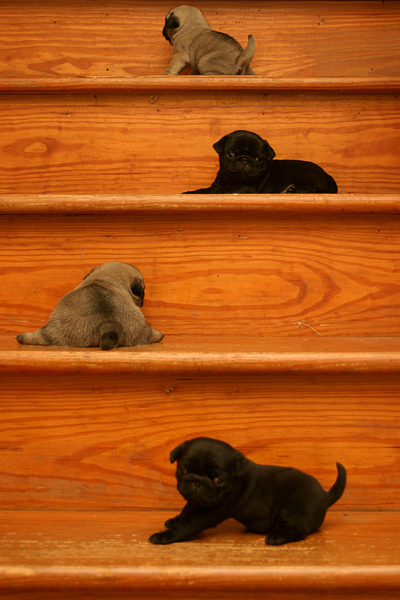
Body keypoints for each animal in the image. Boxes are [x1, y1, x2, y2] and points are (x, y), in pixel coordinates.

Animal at [16, 260, 164, 350]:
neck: (103, 279)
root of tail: (109, 325)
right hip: (144, 332)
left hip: (53, 332)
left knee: (41, 337)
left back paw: (23, 337)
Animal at [148, 438, 346, 548]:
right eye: (183, 470)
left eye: (219, 480)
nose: (197, 482)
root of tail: (325, 496)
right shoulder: (197, 502)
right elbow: (187, 509)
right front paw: (174, 519)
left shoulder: (212, 509)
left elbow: (187, 523)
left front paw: (166, 535)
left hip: (293, 508)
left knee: (298, 528)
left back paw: (277, 536)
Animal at [184, 129, 338, 193]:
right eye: (231, 154)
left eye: (258, 158)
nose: (245, 160)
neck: (232, 179)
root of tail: (328, 176)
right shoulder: (216, 184)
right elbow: (205, 190)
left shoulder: (244, 189)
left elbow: (221, 191)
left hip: (304, 173)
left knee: (311, 187)